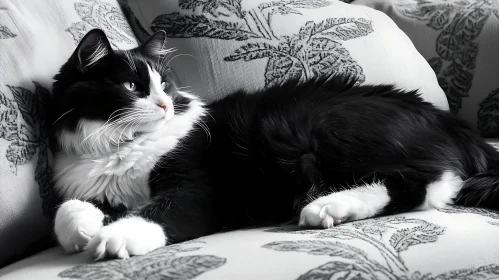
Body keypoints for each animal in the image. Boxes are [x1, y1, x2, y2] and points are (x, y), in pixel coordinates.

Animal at [48, 29, 499, 260]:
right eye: (130, 87)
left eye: (165, 85)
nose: (164, 104)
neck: (119, 146)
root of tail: (450, 121)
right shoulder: (94, 186)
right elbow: (69, 209)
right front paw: (82, 230)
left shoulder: (197, 184)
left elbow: (160, 210)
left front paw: (117, 236)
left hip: (327, 128)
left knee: (427, 183)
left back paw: (327, 207)